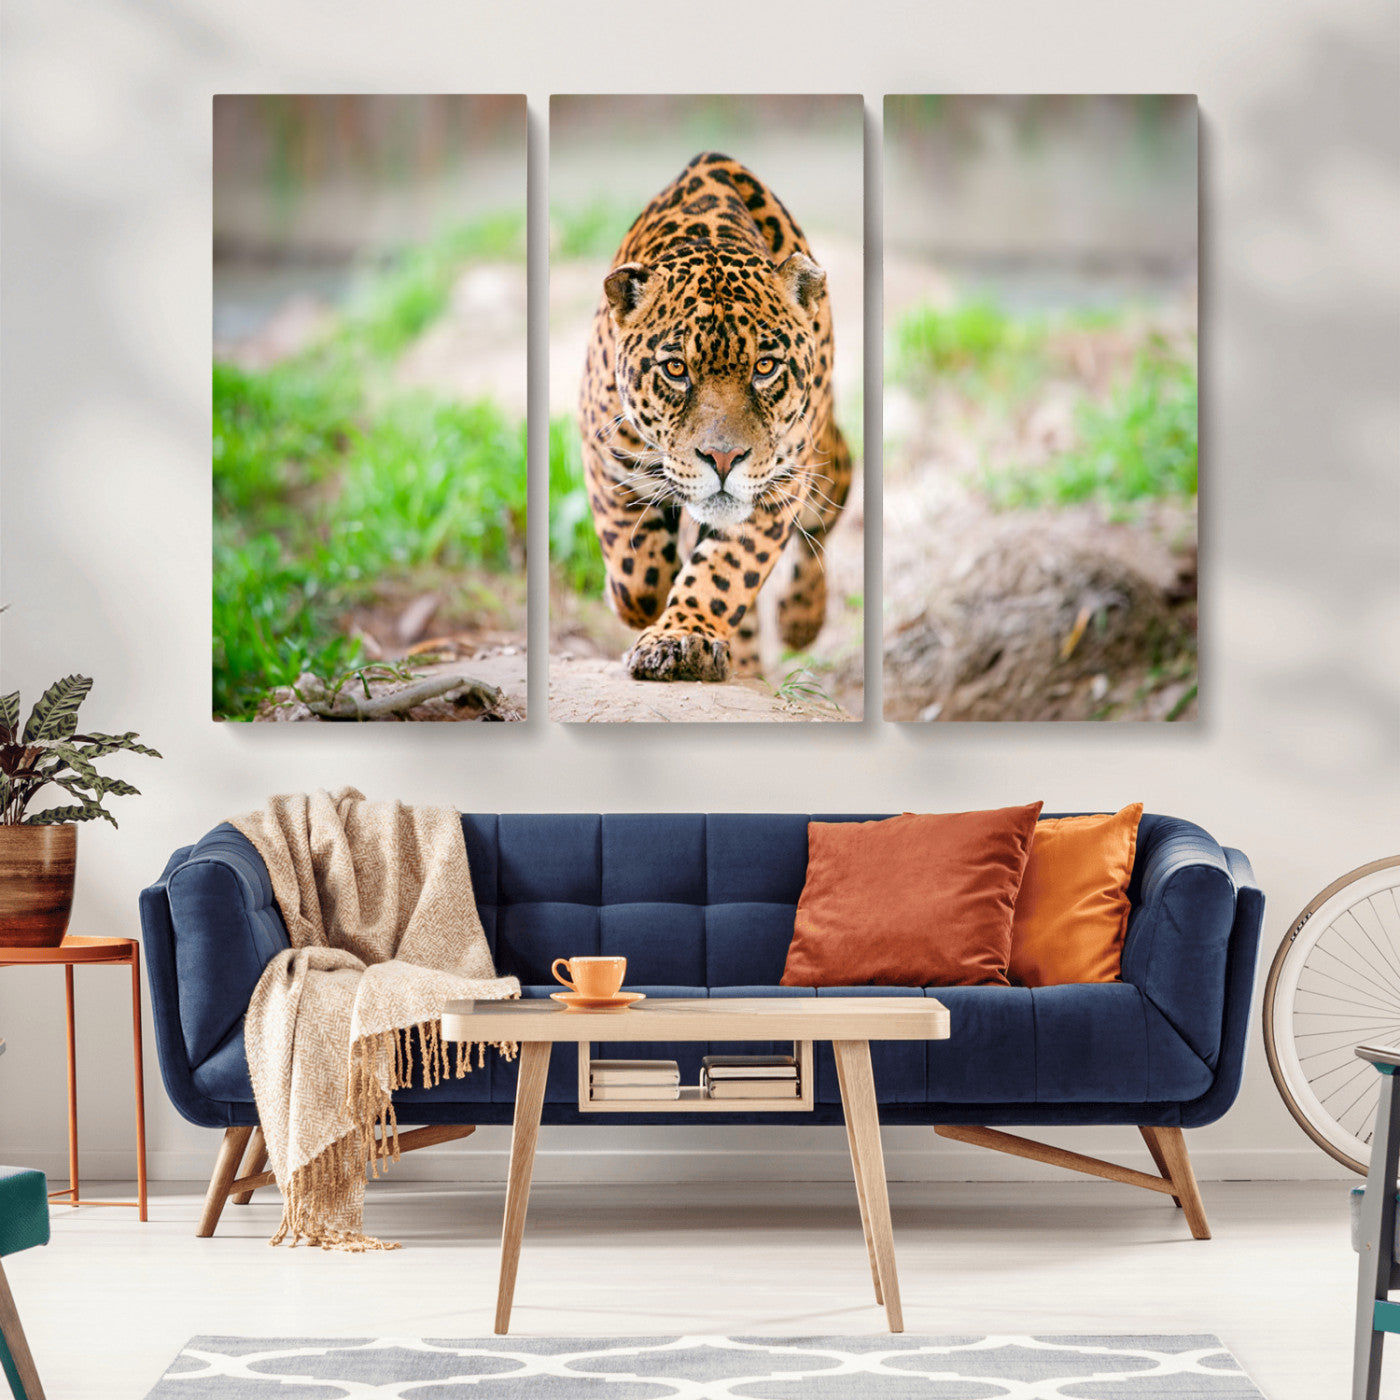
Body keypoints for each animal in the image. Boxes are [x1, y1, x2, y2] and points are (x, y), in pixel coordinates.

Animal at [578, 151, 852, 683]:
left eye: (765, 367)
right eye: (675, 369)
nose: (723, 459)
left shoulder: (777, 485)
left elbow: (724, 573)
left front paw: (681, 638)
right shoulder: (604, 453)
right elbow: (635, 570)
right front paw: (642, 605)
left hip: (823, 462)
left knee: (829, 507)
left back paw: (800, 619)